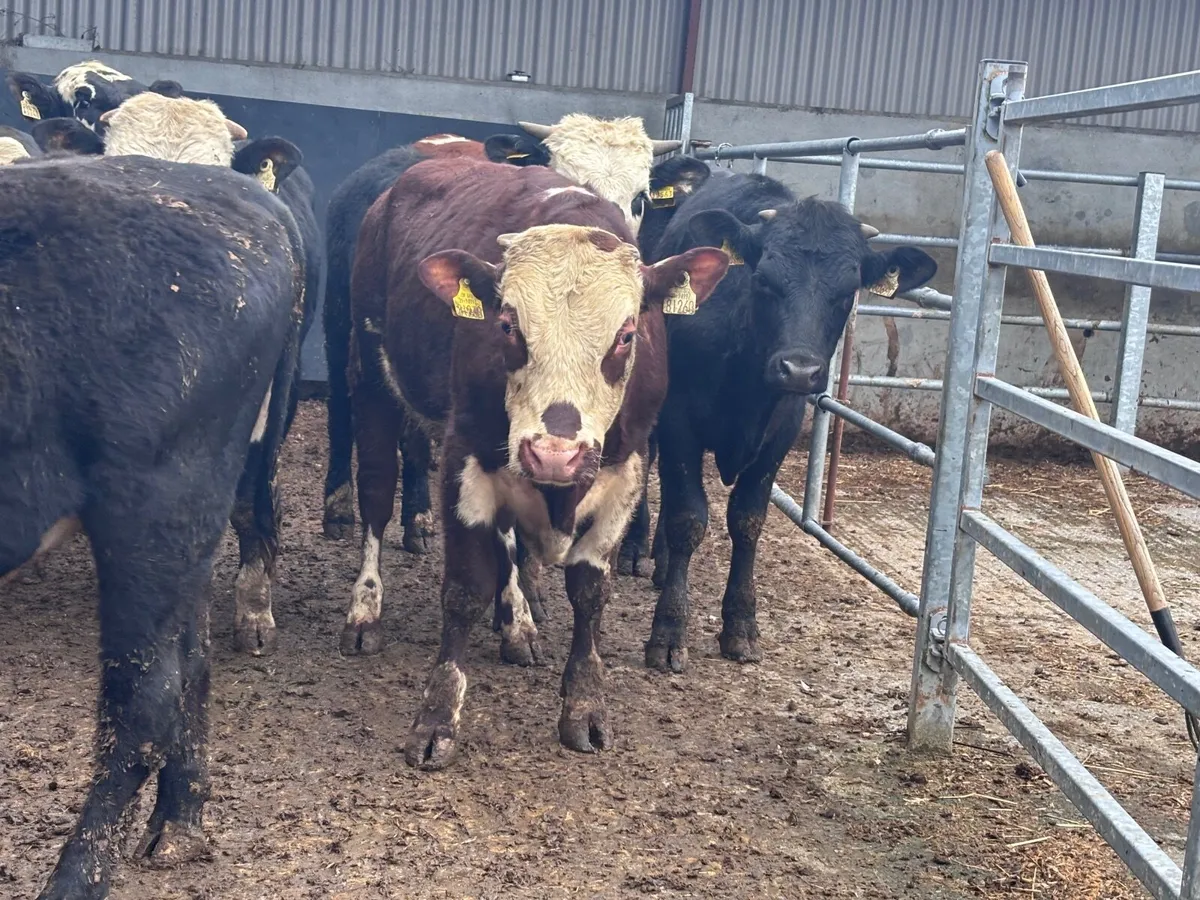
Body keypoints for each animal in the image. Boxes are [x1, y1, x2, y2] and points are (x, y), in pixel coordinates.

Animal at [0, 153, 303, 900]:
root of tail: (242, 194)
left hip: (155, 503)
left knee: (145, 697)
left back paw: (74, 879)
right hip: (185, 528)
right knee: (191, 661)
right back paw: (178, 825)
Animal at [320, 115, 684, 546]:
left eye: (640, 199)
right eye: (564, 172)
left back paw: (418, 516)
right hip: (343, 327)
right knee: (343, 405)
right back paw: (338, 505)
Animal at [346, 157, 727, 766]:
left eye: (626, 335)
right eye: (506, 325)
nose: (554, 453)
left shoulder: (628, 469)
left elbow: (591, 593)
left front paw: (585, 706)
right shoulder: (463, 456)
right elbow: (464, 589)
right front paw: (437, 717)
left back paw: (517, 623)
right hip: (372, 380)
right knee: (377, 498)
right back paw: (365, 608)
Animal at [623, 172, 937, 674]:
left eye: (847, 291)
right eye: (764, 280)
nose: (799, 370)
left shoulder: (781, 432)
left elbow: (747, 521)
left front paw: (741, 626)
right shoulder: (677, 421)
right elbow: (689, 518)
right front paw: (668, 631)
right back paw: (636, 549)